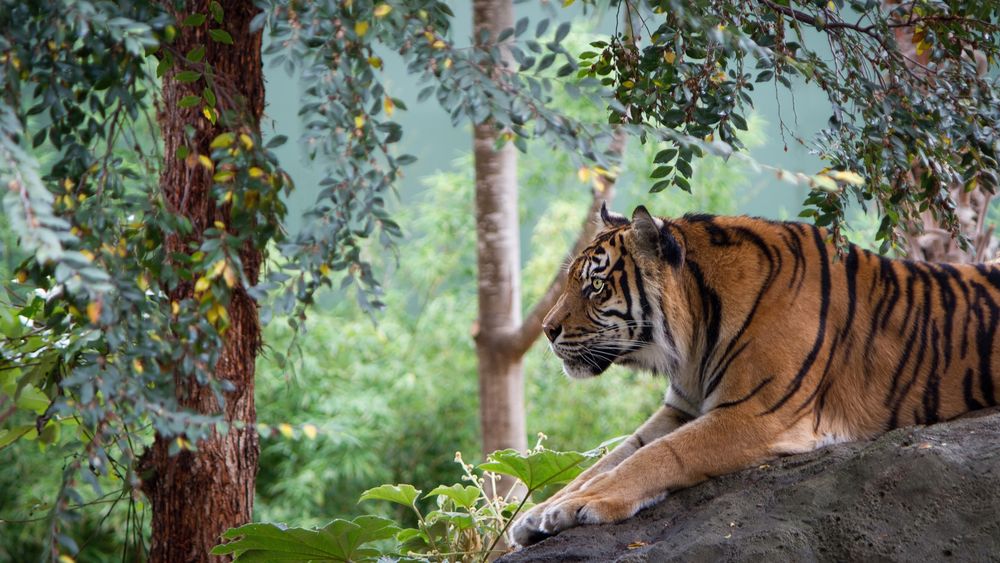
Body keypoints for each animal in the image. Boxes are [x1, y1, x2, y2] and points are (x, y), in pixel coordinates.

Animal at [511, 204, 1000, 547]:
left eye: (595, 286)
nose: (546, 329)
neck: (696, 333)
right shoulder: (681, 409)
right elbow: (611, 458)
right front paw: (540, 514)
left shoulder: (755, 413)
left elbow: (659, 456)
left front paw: (582, 505)